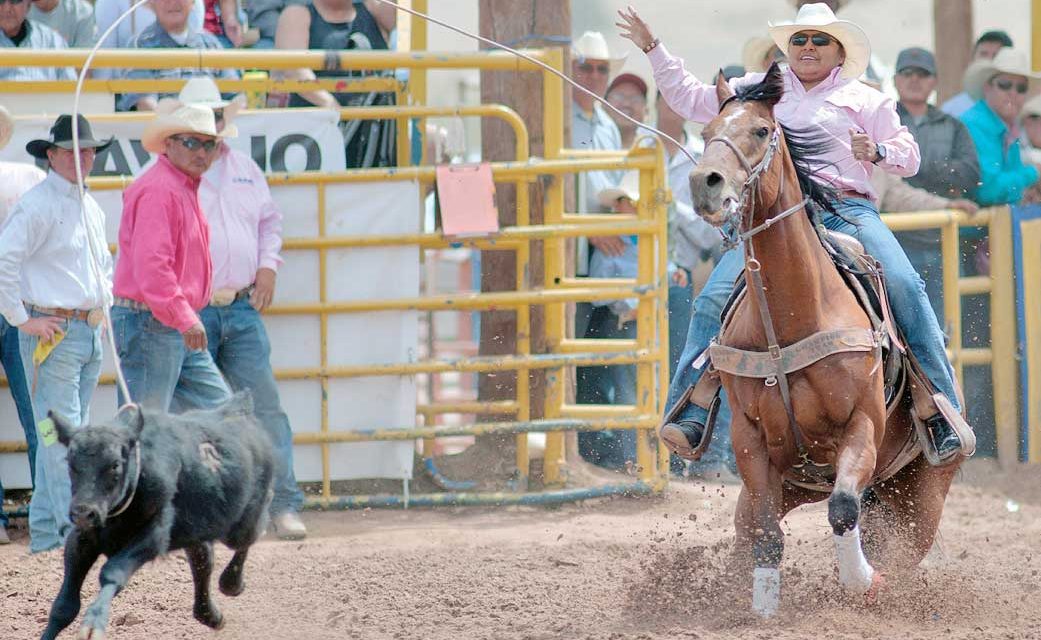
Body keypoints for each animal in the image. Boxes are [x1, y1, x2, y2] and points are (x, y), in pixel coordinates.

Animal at [40, 395, 272, 640]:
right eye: (71, 463)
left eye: (115, 465)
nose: (83, 512)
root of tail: (237, 409)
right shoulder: (81, 540)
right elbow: (64, 607)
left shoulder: (153, 536)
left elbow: (113, 572)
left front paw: (94, 624)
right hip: (194, 532)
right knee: (203, 560)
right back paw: (211, 615)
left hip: (241, 524)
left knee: (251, 532)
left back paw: (231, 583)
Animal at [687, 63, 961, 616]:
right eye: (706, 133)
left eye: (761, 130)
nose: (706, 183)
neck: (791, 318)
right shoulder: (749, 441)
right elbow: (766, 535)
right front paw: (761, 610)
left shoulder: (861, 428)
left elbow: (842, 509)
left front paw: (862, 584)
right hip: (792, 484)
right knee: (750, 530)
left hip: (922, 497)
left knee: (893, 541)